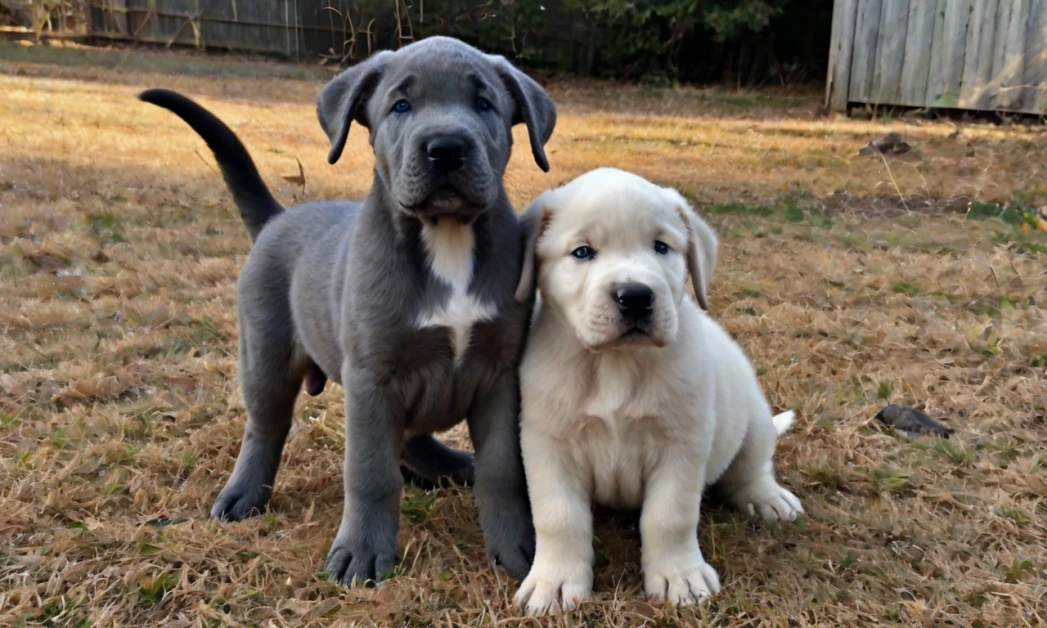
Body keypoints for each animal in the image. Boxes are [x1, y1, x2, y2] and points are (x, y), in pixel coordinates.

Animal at [143, 35, 561, 581]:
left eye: (484, 104)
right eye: (400, 106)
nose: (446, 148)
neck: (446, 237)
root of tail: (277, 217)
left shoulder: (499, 375)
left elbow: (502, 468)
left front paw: (519, 548)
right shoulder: (372, 378)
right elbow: (370, 471)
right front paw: (361, 551)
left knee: (411, 438)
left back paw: (451, 466)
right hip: (266, 355)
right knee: (266, 427)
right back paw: (242, 494)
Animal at [513, 166, 799, 611]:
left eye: (661, 247)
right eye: (582, 252)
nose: (634, 296)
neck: (615, 364)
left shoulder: (682, 443)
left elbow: (670, 516)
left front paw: (679, 575)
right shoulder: (547, 443)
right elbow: (559, 516)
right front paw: (555, 580)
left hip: (752, 421)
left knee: (752, 468)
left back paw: (767, 496)